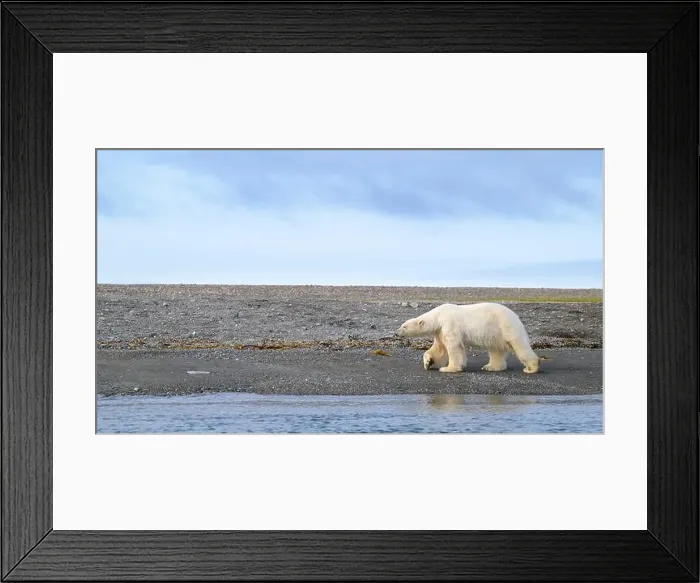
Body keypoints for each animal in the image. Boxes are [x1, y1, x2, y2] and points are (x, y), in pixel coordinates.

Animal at [394, 302, 544, 374]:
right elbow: (439, 348)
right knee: (495, 349)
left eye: (404, 327)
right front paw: (428, 362)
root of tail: (516, 316)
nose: (396, 333)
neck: (438, 316)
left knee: (518, 344)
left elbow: (453, 347)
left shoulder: (449, 323)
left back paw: (531, 368)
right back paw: (490, 367)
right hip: (495, 333)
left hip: (505, 326)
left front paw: (449, 368)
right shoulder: (440, 330)